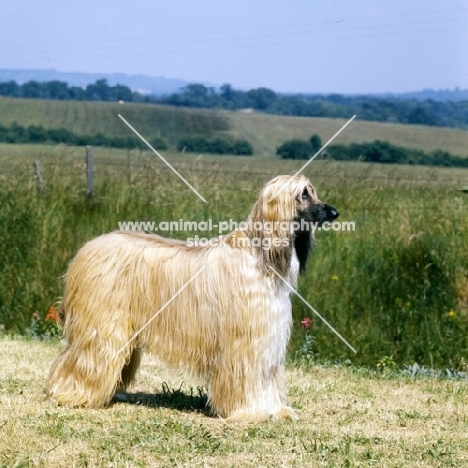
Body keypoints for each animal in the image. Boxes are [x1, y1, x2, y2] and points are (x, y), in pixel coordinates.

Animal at [47, 174, 338, 422]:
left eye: (312, 191)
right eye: (303, 194)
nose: (334, 213)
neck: (261, 255)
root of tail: (87, 249)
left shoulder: (268, 337)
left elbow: (268, 376)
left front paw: (277, 410)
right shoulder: (245, 340)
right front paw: (251, 412)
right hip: (103, 323)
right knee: (83, 357)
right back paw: (70, 394)